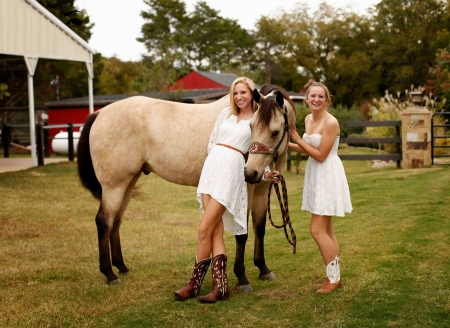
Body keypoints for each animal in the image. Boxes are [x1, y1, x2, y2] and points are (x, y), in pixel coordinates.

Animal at [76, 85, 296, 292]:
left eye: (275, 131)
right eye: (250, 127)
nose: (250, 173)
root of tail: (99, 114)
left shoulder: (261, 190)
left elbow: (260, 229)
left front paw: (263, 269)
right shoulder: (246, 191)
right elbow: (242, 234)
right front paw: (242, 278)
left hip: (128, 183)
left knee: (116, 221)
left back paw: (121, 267)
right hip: (114, 185)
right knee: (104, 221)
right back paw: (110, 274)